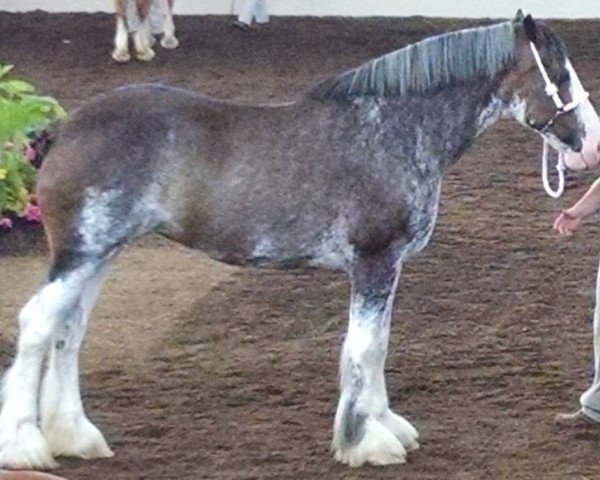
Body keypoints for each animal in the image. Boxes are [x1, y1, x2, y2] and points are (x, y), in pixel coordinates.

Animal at [1, 10, 600, 468]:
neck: (394, 130)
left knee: (69, 331)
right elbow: (364, 347)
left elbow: (378, 345)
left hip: (99, 254)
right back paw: (27, 445)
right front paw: (366, 443)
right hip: (79, 253)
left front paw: (385, 425)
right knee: (38, 325)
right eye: (560, 74)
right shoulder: (375, 261)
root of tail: (64, 129)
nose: (589, 143)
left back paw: (76, 435)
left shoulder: (387, 268)